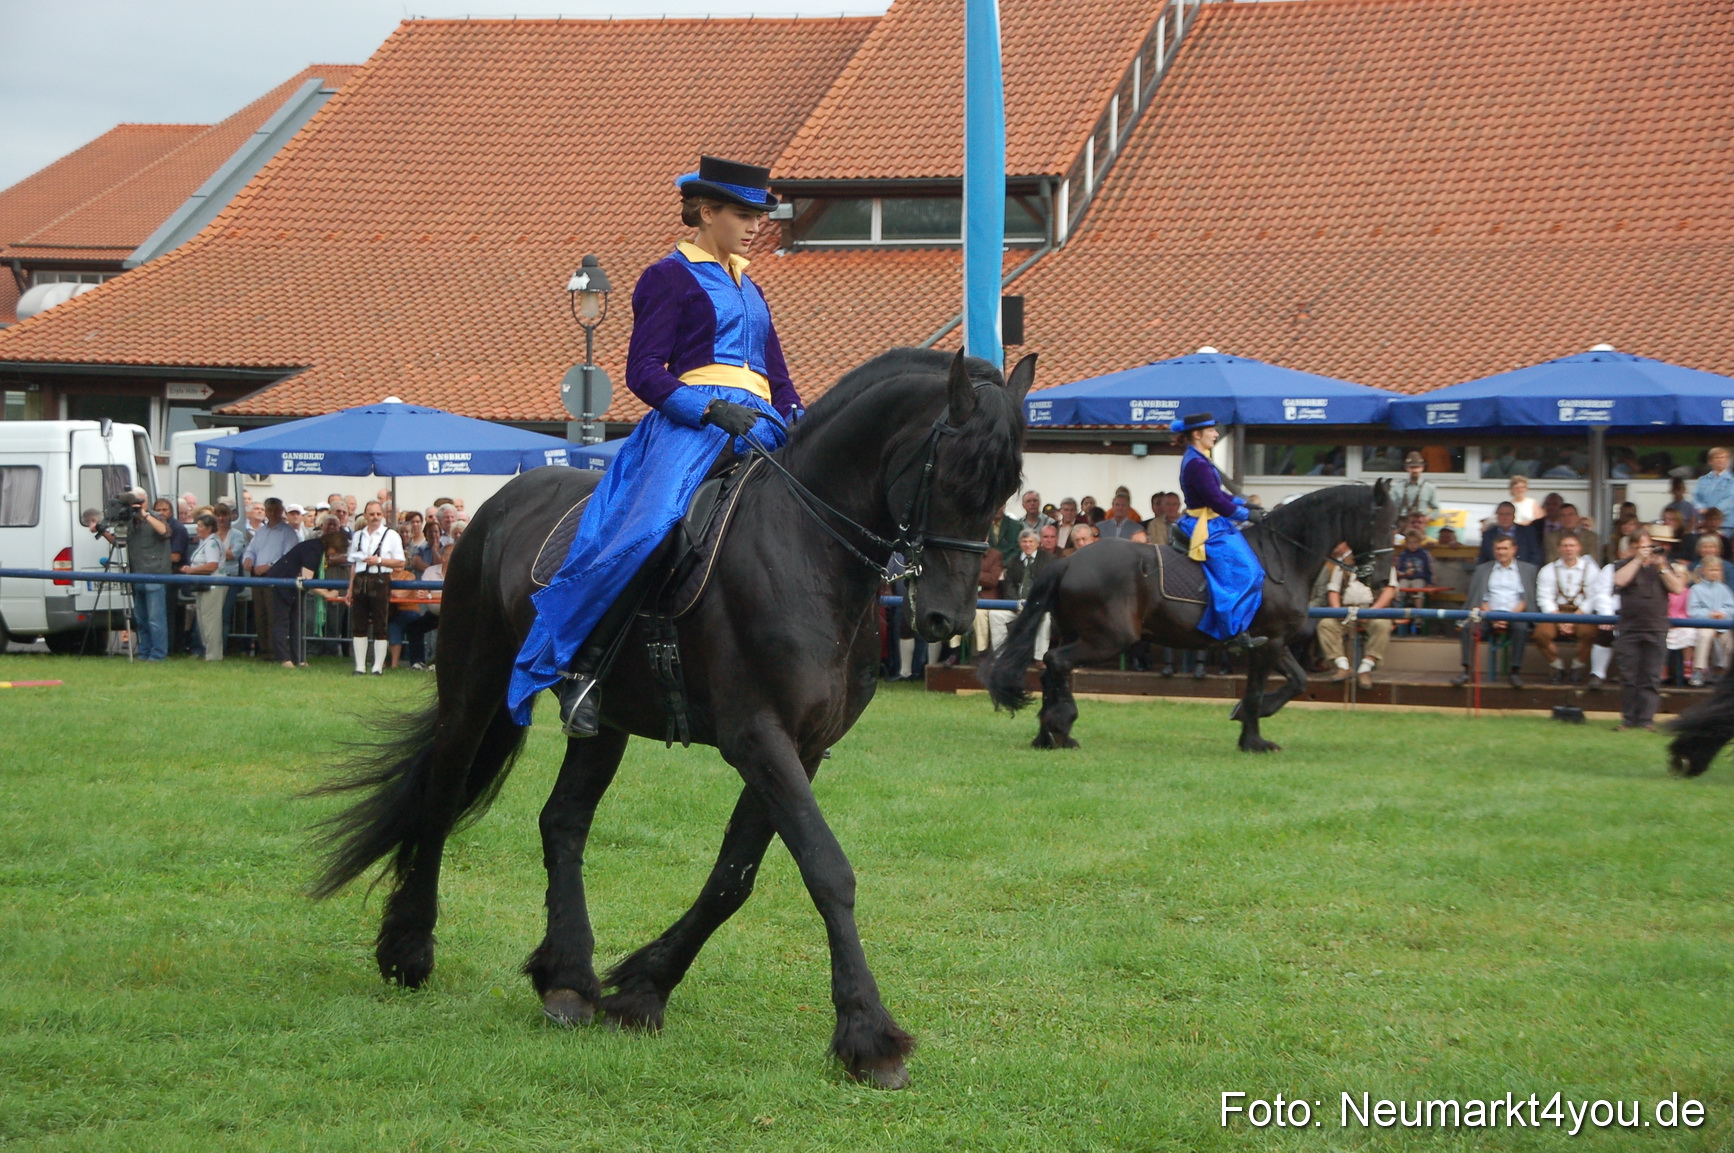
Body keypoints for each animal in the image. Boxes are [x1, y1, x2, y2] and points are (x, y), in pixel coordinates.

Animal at [309, 348, 1034, 1090]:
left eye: (1008, 488)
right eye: (953, 473)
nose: (945, 619)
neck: (806, 550)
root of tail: (498, 505)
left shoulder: (799, 749)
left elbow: (732, 878)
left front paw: (642, 989)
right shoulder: (757, 737)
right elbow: (827, 869)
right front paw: (869, 1034)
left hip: (603, 721)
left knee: (562, 820)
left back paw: (567, 978)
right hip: (473, 686)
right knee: (443, 796)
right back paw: (408, 948)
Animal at [979, 481, 1396, 753]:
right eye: (1380, 522)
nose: (1379, 578)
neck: (1281, 557)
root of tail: (1068, 561)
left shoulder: (1272, 643)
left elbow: (1297, 680)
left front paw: (1247, 720)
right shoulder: (1268, 642)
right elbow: (1259, 689)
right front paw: (1253, 738)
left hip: (1073, 632)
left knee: (1052, 668)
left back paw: (1046, 734)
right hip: (1107, 639)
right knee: (1056, 662)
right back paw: (1062, 726)